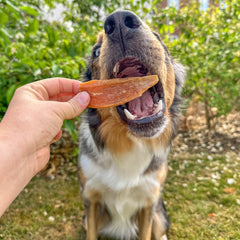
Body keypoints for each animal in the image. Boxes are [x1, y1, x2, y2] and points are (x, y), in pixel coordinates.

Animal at [78, 9, 185, 240]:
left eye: (157, 36)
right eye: (96, 51)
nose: (118, 21)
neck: (130, 142)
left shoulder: (149, 201)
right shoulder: (91, 199)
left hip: (159, 214)